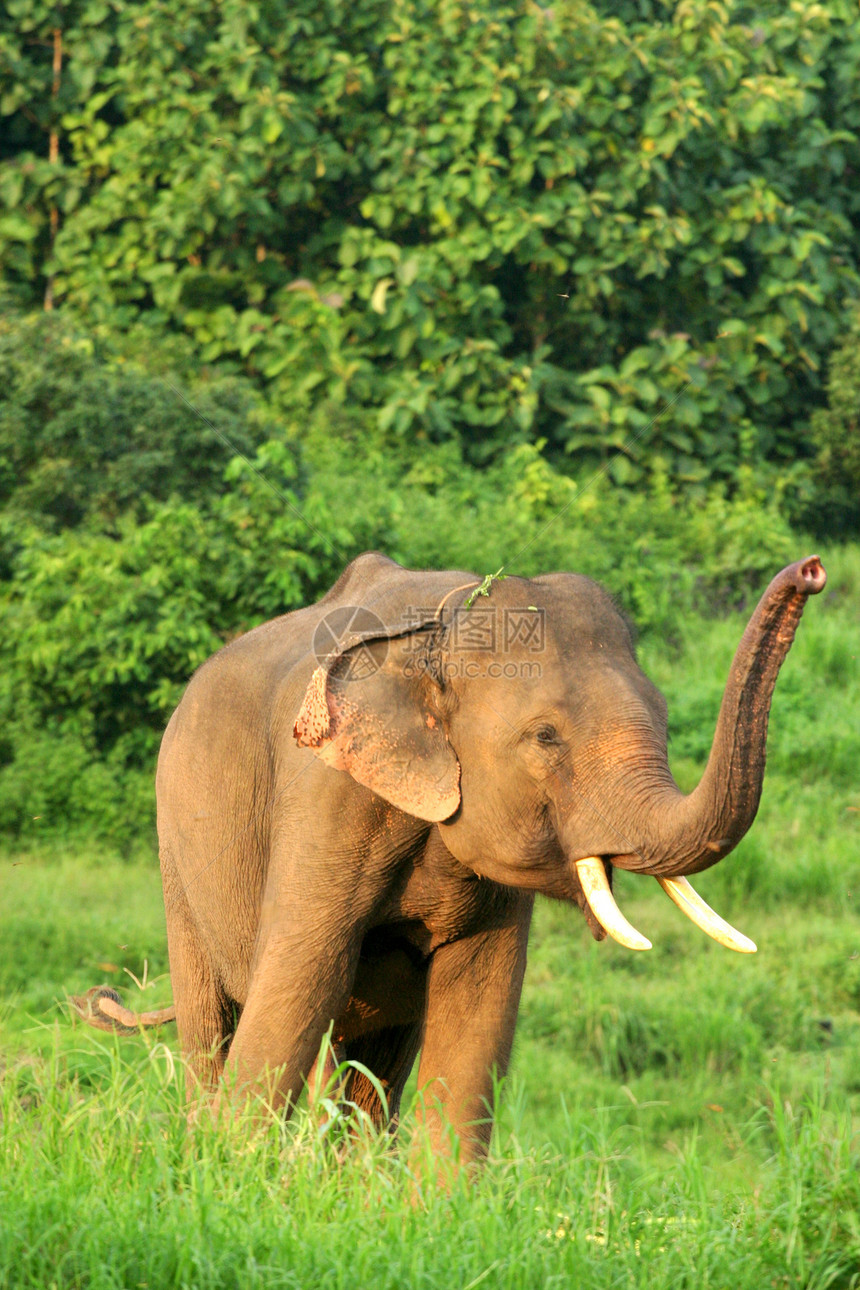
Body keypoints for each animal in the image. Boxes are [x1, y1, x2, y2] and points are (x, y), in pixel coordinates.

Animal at [78, 549, 825, 1166]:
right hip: (176, 851)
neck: (440, 632)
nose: (811, 570)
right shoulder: (326, 795)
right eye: (545, 737)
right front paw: (231, 1178)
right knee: (215, 1023)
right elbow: (298, 983)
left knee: (371, 1064)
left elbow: (478, 1012)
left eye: (665, 718)